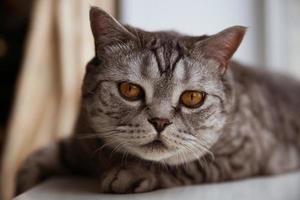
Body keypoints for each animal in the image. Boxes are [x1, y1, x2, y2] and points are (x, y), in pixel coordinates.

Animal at [17, 6, 300, 194]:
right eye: (130, 90)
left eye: (193, 97)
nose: (160, 121)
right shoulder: (82, 139)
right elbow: (35, 160)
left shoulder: (244, 153)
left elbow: (189, 164)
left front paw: (133, 172)